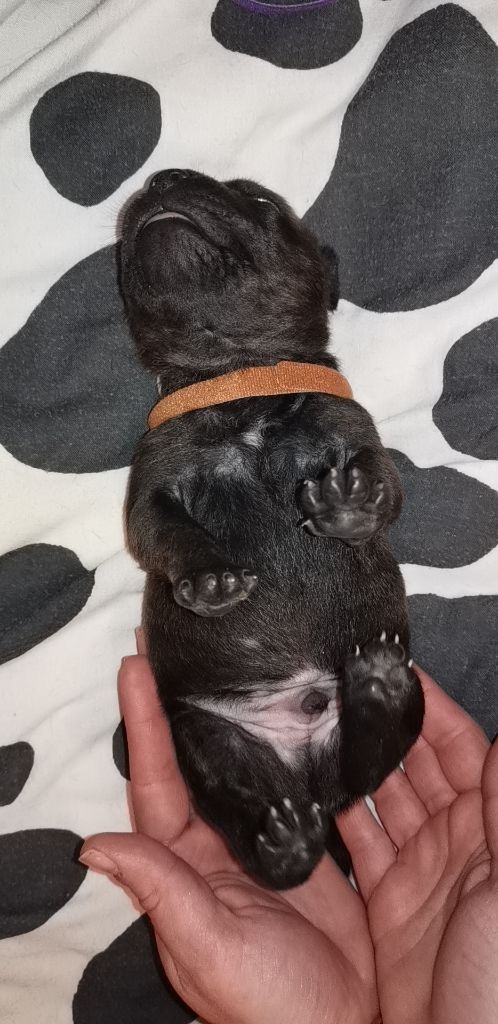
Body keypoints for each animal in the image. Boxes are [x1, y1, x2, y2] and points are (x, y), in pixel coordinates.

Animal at [120, 169, 424, 889]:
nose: (163, 178)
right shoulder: (154, 484)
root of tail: (307, 785)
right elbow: (163, 530)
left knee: (365, 769)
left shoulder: (356, 434)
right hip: (205, 736)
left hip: (403, 700)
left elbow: (385, 485)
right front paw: (208, 577)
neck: (240, 384)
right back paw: (282, 844)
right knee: (271, 837)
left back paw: (379, 689)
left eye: (259, 202)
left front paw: (350, 508)